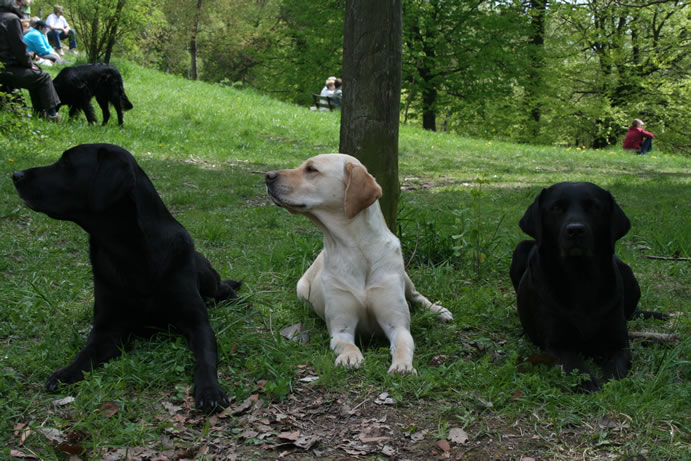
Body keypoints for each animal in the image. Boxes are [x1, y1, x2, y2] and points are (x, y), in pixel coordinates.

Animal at [12, 144, 239, 411]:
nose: (15, 175)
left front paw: (210, 390)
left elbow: (205, 358)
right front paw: (66, 373)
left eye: (66, 163)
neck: (127, 251)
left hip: (208, 281)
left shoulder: (197, 323)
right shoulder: (107, 328)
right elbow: (86, 353)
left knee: (224, 288)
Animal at [265, 154, 453, 374]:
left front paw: (403, 366)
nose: (267, 176)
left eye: (311, 169)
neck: (355, 249)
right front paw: (349, 357)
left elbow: (403, 345)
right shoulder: (341, 329)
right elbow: (348, 345)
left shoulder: (398, 325)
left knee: (417, 296)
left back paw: (439, 311)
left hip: (405, 278)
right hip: (301, 289)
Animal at [510, 182, 643, 391]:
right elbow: (575, 367)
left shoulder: (619, 343)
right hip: (520, 249)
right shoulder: (557, 345)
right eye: (556, 208)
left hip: (627, 272)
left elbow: (616, 369)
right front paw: (589, 384)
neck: (581, 277)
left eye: (594, 207)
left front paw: (609, 383)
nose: (575, 230)